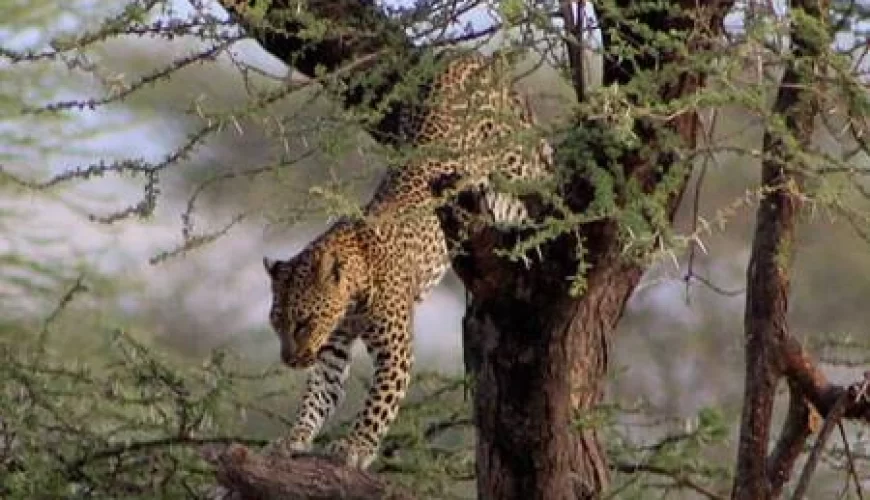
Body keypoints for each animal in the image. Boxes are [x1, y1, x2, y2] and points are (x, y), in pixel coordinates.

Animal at [262, 52, 553, 468]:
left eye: (303, 323)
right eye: (277, 324)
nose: (289, 360)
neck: (353, 291)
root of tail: (470, 55)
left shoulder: (395, 350)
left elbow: (377, 404)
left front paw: (355, 448)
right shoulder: (332, 349)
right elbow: (318, 395)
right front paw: (295, 438)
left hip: (515, 162)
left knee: (546, 176)